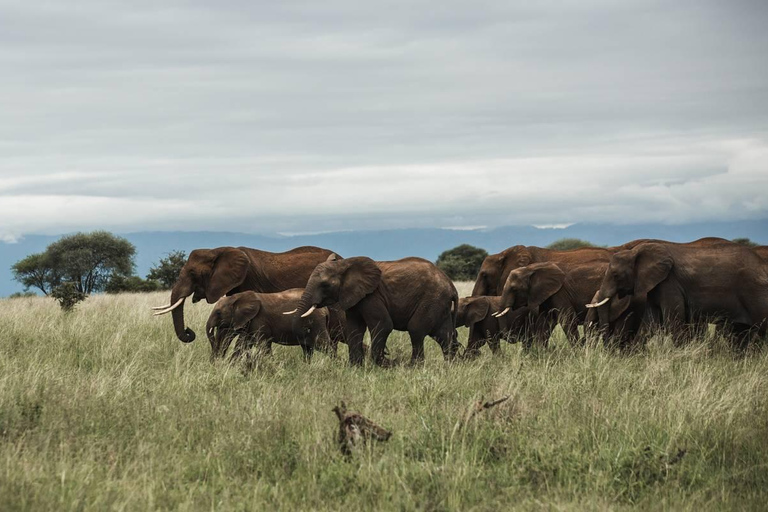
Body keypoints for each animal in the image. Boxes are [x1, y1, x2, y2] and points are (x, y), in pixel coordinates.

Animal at [206, 288, 334, 364]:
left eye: (218, 313)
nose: (215, 362)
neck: (237, 297)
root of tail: (325, 309)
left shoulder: (260, 319)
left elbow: (262, 343)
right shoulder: (250, 322)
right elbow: (244, 343)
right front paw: (231, 365)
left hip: (316, 322)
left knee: (324, 345)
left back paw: (334, 366)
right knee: (307, 349)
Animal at [286, 258, 456, 366]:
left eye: (324, 285)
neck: (344, 264)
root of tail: (451, 285)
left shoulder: (372, 296)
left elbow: (383, 325)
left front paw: (384, 365)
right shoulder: (354, 297)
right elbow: (354, 328)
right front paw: (355, 367)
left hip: (432, 298)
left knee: (416, 329)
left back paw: (413, 366)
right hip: (439, 303)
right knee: (444, 334)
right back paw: (451, 366)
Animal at [588, 243, 768, 348]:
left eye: (615, 275)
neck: (634, 252)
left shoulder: (670, 283)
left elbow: (673, 320)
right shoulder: (655, 285)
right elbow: (650, 322)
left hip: (755, 292)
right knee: (742, 334)